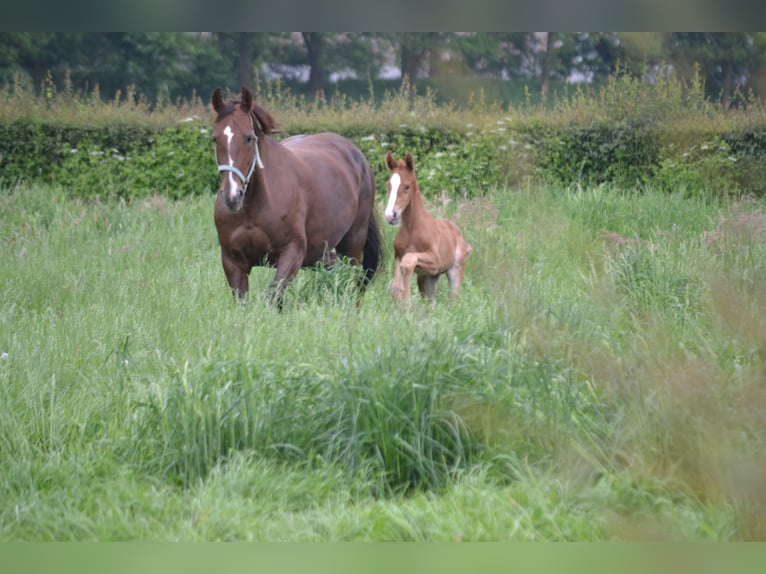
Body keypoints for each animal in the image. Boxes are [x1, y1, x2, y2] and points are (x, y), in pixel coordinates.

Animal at [212, 86, 382, 308]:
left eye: (249, 137)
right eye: (215, 138)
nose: (232, 196)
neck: (253, 208)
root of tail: (357, 156)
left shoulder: (292, 252)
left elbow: (273, 297)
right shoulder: (232, 260)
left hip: (352, 242)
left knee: (353, 280)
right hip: (320, 252)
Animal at [388, 152, 472, 306]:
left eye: (407, 186)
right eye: (388, 185)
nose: (391, 215)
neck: (412, 229)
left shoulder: (435, 261)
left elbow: (409, 261)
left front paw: (407, 304)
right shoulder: (398, 256)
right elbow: (395, 287)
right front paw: (403, 303)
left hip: (455, 270)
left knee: (453, 301)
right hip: (427, 279)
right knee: (432, 303)